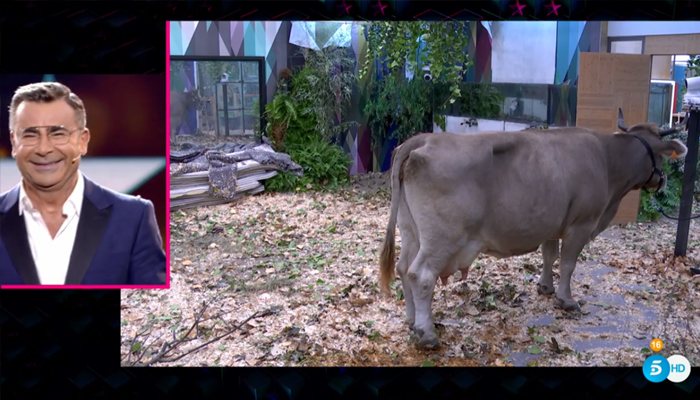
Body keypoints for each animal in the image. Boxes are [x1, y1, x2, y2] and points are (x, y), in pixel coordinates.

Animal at [379, 122, 688, 349]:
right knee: (421, 275)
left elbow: (549, 255)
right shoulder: (581, 224)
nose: (662, 181)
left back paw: (411, 321)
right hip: (442, 238)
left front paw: (545, 287)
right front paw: (566, 299)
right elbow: (568, 263)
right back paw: (426, 333)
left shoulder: (551, 222)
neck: (607, 159)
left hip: (410, 229)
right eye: (662, 156)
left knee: (403, 268)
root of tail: (422, 140)